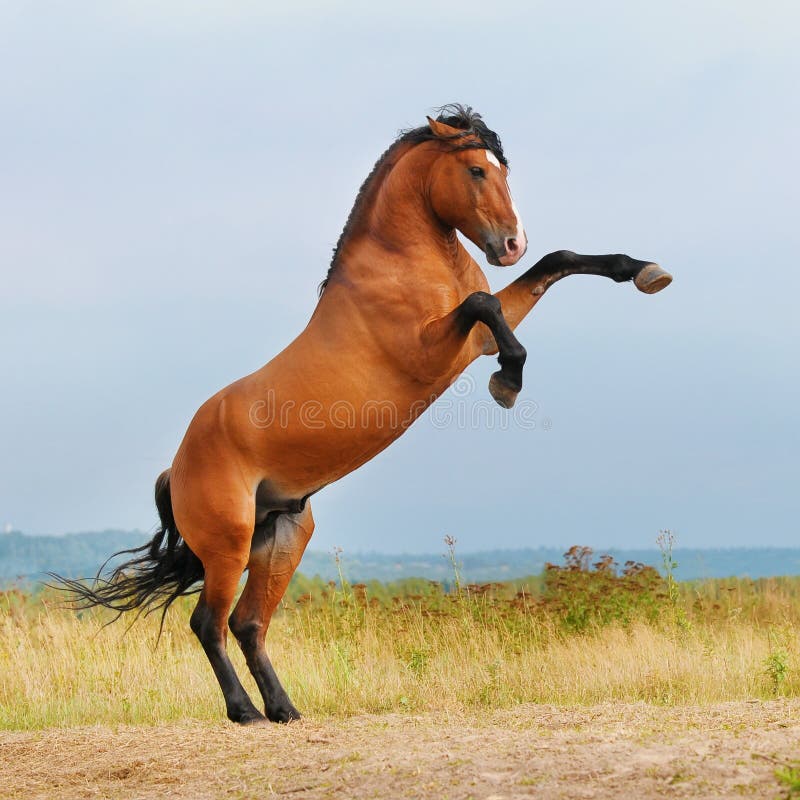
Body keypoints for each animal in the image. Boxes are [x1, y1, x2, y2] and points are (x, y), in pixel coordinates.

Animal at [61, 104, 668, 724]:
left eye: (502, 169)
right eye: (475, 170)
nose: (511, 245)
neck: (403, 264)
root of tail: (175, 467)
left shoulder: (472, 341)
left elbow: (555, 264)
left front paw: (646, 272)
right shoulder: (436, 348)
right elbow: (487, 305)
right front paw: (508, 383)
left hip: (282, 537)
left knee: (248, 624)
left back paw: (285, 710)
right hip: (228, 546)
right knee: (209, 624)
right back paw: (246, 712)